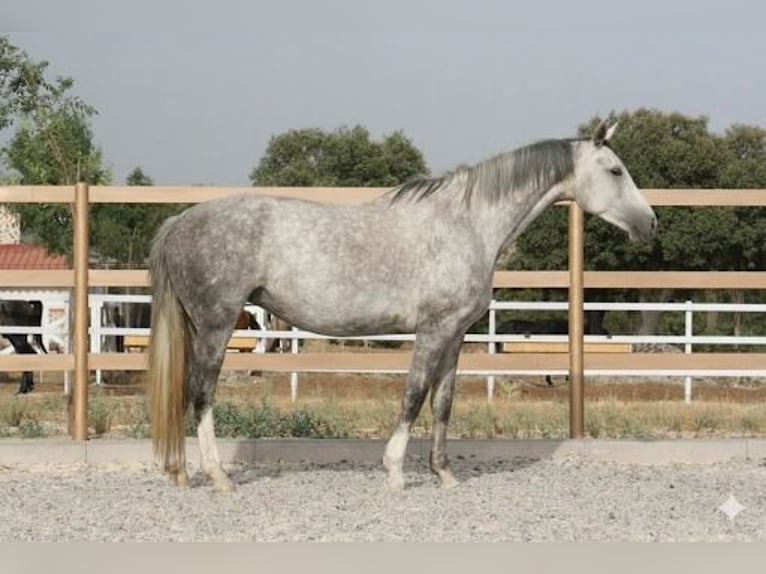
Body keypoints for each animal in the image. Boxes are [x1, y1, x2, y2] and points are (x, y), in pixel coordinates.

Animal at [147, 121, 657, 491]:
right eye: (615, 170)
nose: (650, 222)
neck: (468, 224)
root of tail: (181, 220)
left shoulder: (454, 335)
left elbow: (443, 401)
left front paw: (444, 474)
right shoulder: (432, 330)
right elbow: (413, 395)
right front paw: (394, 472)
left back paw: (180, 473)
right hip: (216, 326)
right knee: (201, 395)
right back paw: (219, 478)